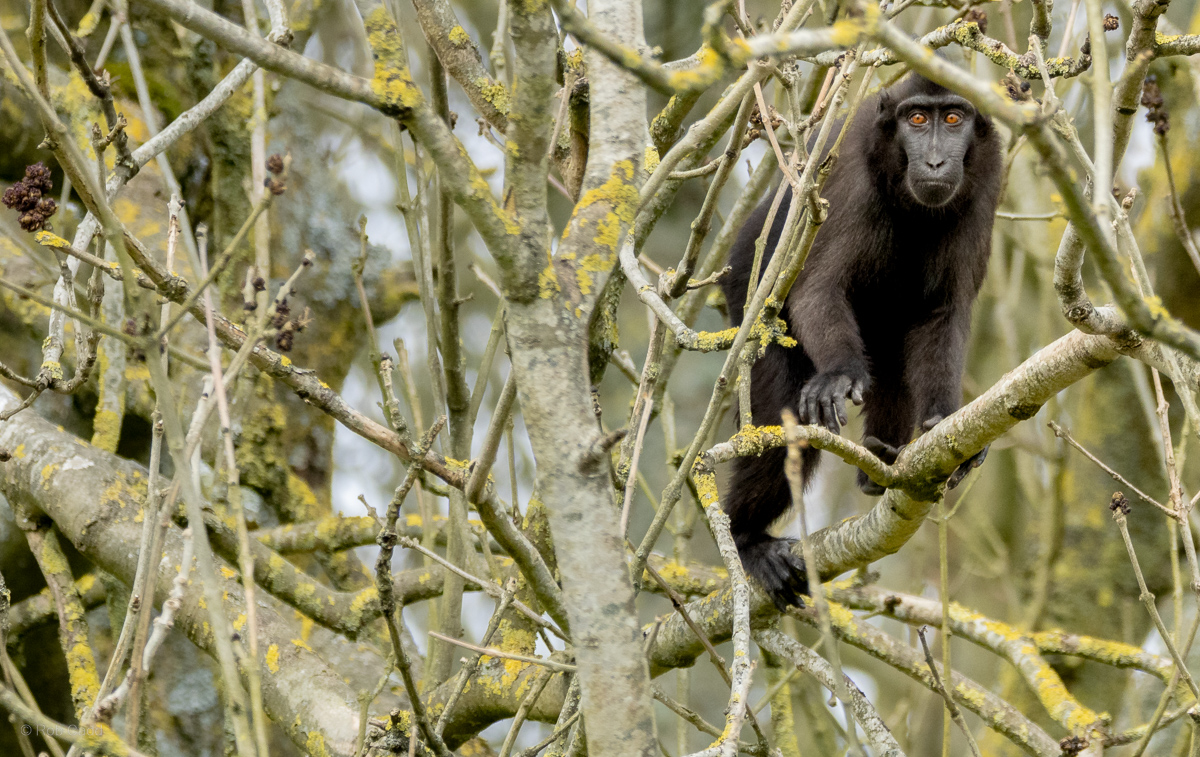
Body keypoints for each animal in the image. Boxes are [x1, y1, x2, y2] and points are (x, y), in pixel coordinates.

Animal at [719, 74, 1002, 609]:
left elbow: (943, 314)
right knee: (787, 419)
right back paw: (746, 539)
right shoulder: (848, 176)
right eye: (918, 119)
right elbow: (817, 288)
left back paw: (881, 463)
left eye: (954, 119)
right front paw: (838, 376)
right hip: (747, 287)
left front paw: (943, 421)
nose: (937, 162)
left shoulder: (986, 187)